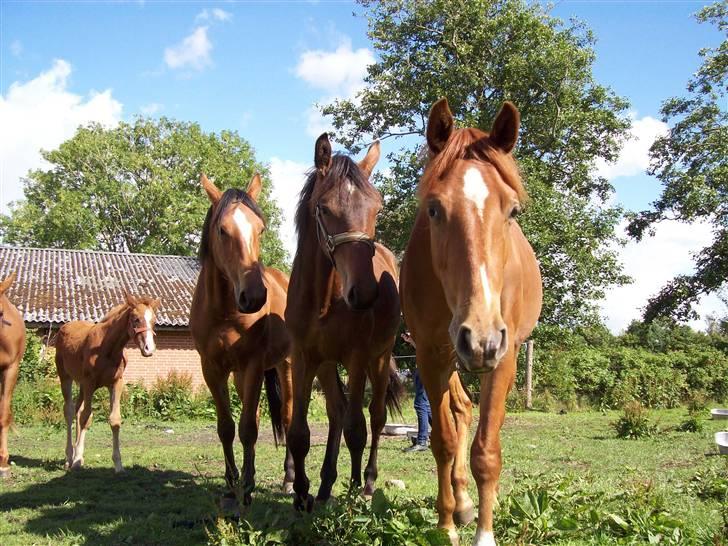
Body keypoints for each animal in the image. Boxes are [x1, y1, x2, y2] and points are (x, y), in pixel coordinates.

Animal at [56, 288, 160, 472]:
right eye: (136, 319)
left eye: (154, 321)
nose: (149, 349)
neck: (108, 349)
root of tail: (64, 327)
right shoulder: (90, 383)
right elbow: (86, 418)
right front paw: (77, 460)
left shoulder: (116, 383)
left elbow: (114, 420)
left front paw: (118, 464)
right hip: (65, 377)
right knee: (69, 411)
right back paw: (69, 457)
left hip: (81, 385)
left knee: (77, 409)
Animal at [189, 171, 294, 502]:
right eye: (222, 230)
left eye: (260, 228)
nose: (255, 296)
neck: (226, 314)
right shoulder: (211, 369)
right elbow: (226, 426)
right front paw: (232, 481)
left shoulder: (254, 366)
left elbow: (248, 428)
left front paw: (246, 487)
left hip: (286, 366)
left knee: (288, 417)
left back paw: (289, 479)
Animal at [286, 134, 400, 508]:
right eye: (323, 208)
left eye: (377, 208)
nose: (364, 293)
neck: (323, 301)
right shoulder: (303, 358)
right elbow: (298, 432)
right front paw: (302, 493)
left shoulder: (358, 357)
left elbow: (357, 428)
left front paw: (354, 493)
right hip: (326, 363)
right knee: (336, 411)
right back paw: (325, 486)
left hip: (379, 358)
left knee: (374, 418)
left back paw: (365, 482)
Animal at [400, 99, 544, 544]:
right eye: (433, 209)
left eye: (512, 209)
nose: (480, 337)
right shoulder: (430, 355)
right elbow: (443, 442)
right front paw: (446, 525)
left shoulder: (504, 358)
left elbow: (487, 452)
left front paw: (485, 533)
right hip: (449, 355)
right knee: (460, 410)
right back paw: (461, 503)